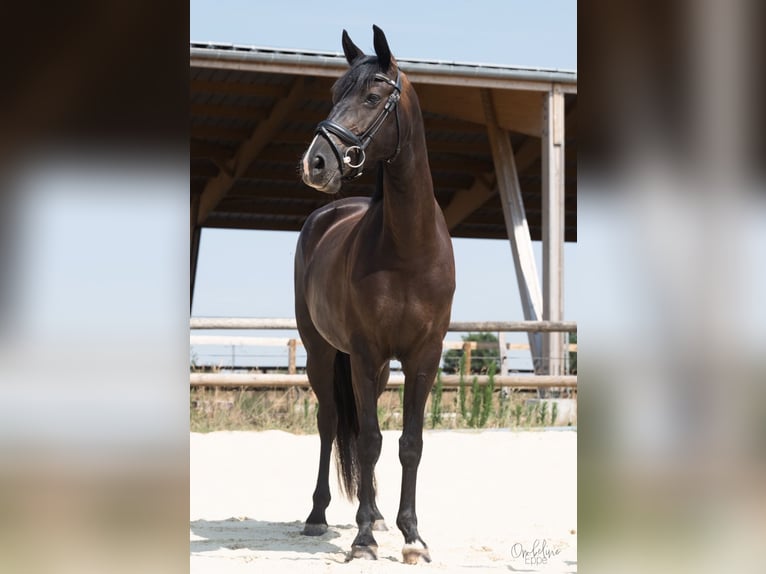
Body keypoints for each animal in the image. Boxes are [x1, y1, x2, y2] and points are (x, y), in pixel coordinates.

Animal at [295, 25, 455, 564]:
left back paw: (381, 515)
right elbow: (367, 439)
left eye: (371, 97)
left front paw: (412, 536)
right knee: (328, 423)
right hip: (322, 353)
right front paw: (362, 539)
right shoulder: (364, 354)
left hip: (381, 367)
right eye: (333, 93)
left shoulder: (423, 356)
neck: (407, 248)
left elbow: (409, 443)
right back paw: (317, 516)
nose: (315, 163)